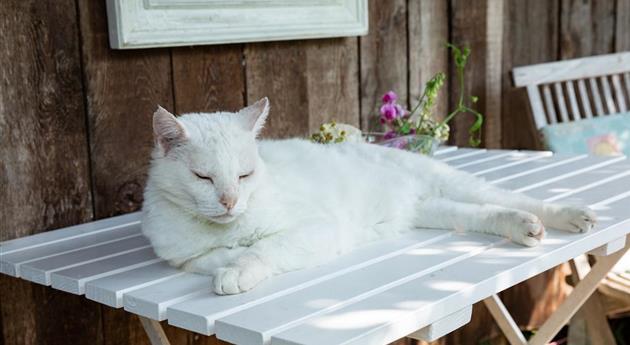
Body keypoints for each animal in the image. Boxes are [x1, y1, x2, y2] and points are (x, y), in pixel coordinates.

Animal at [142, 98, 596, 294]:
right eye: (203, 178)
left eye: (244, 174)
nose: (230, 202)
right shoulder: (182, 258)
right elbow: (214, 257)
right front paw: (229, 259)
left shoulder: (318, 228)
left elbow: (262, 249)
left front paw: (239, 268)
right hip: (437, 210)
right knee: (484, 214)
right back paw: (526, 229)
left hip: (452, 182)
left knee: (518, 199)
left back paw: (569, 216)